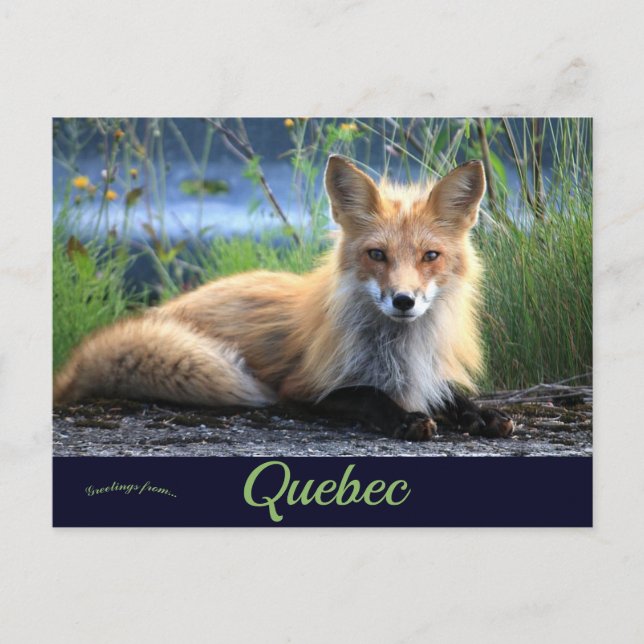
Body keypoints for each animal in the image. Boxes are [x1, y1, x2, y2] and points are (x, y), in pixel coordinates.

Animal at [54, 155, 513, 440]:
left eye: (430, 256)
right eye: (377, 255)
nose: (403, 301)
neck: (399, 350)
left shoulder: (429, 371)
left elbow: (452, 393)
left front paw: (482, 413)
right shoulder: (304, 388)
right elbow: (368, 394)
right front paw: (407, 418)